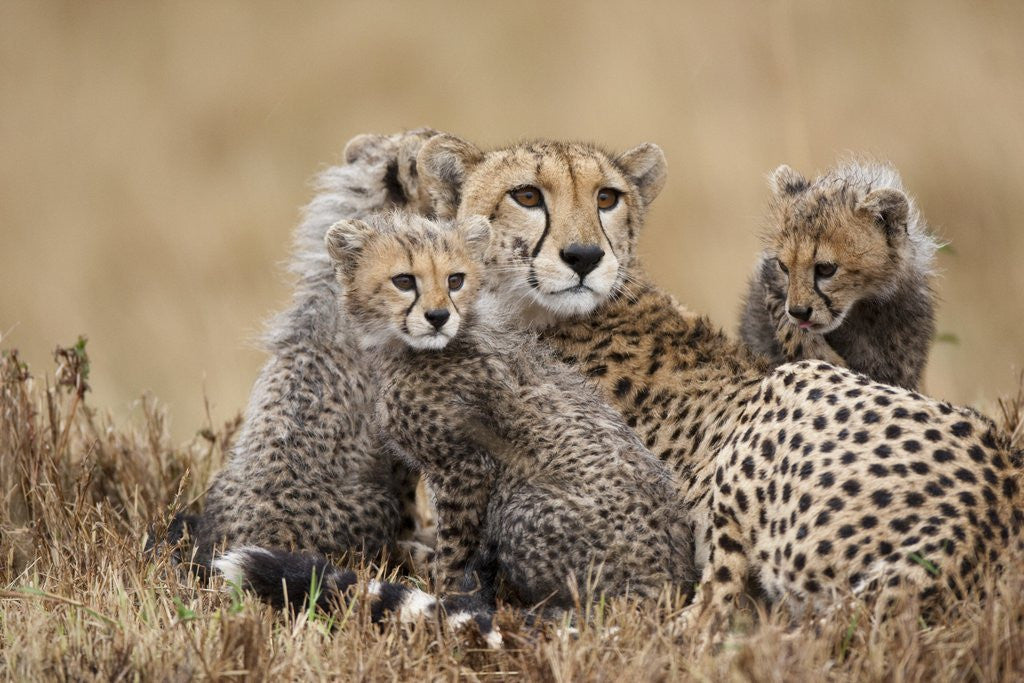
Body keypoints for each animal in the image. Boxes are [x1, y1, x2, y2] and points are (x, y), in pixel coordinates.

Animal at [739, 160, 940, 390]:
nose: (799, 312)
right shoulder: (770, 285)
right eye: (783, 266)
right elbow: (787, 325)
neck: (862, 307)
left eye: (826, 269)